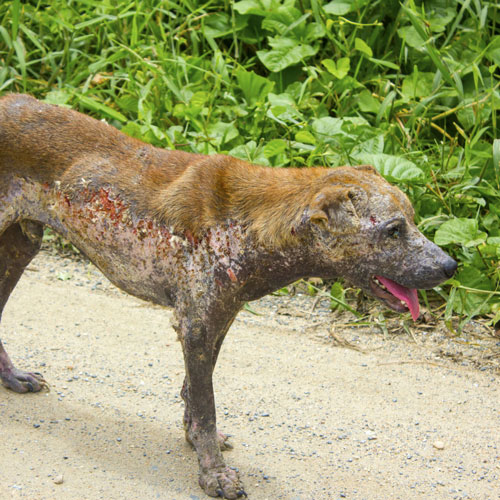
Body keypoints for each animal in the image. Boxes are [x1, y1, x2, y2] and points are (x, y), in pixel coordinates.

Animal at [0, 94, 456, 496]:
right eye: (394, 230)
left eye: (413, 221)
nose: (450, 266)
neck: (253, 223)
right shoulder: (196, 327)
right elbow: (206, 405)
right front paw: (213, 474)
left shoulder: (220, 319)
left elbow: (194, 395)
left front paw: (199, 442)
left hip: (20, 248)